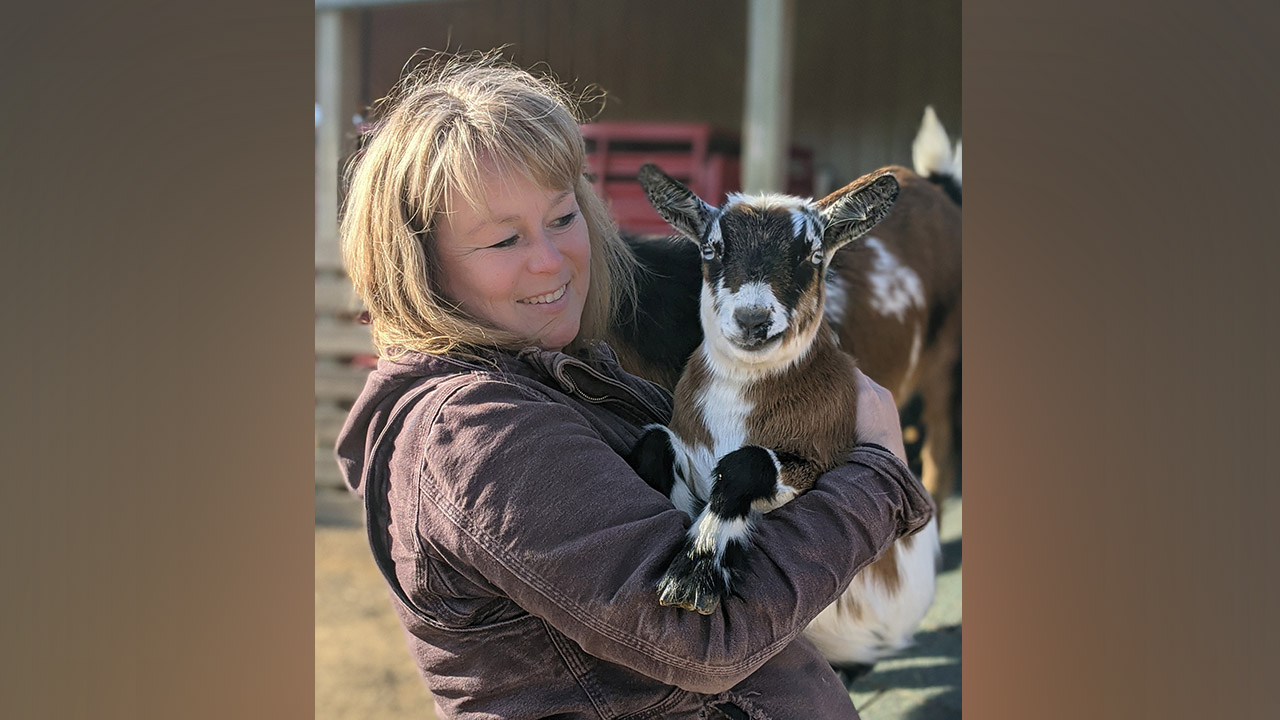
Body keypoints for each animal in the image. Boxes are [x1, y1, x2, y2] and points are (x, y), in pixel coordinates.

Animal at [624, 162, 947, 666]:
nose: (753, 320)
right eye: (711, 249)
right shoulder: (691, 447)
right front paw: (695, 530)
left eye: (812, 254)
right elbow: (655, 443)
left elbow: (748, 462)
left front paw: (693, 575)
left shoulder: (820, 459)